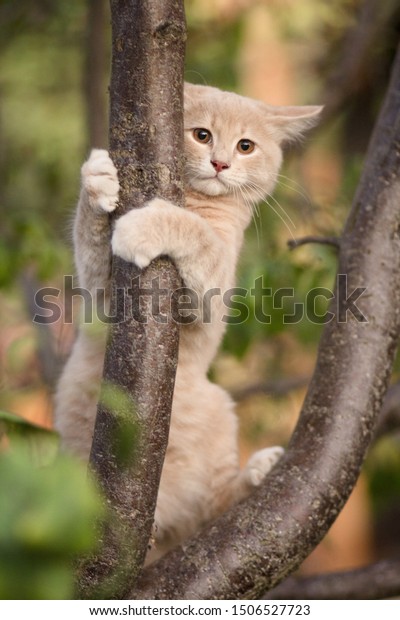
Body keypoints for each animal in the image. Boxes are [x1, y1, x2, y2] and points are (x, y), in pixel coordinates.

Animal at [54, 81, 322, 560]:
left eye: (246, 146)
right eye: (202, 135)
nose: (220, 163)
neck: (195, 201)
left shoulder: (212, 292)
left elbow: (195, 233)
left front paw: (145, 226)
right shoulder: (101, 292)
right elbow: (89, 237)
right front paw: (98, 180)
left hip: (220, 412)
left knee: (212, 512)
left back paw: (259, 470)